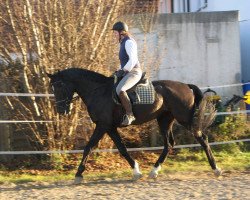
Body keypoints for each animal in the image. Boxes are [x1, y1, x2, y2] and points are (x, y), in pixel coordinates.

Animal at [47, 67, 222, 183]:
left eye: (60, 86)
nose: (61, 110)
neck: (98, 91)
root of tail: (186, 85)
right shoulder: (110, 127)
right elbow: (122, 149)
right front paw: (137, 171)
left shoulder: (103, 125)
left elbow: (88, 147)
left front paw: (78, 174)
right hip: (164, 120)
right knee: (169, 144)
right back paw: (154, 171)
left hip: (184, 119)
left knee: (202, 139)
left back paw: (216, 169)